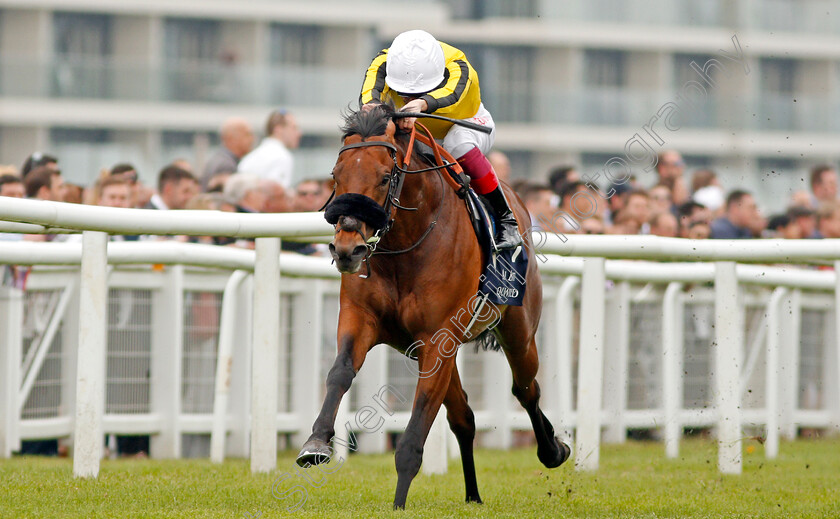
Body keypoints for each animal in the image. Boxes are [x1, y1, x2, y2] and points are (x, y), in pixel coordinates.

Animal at [296, 105, 572, 508]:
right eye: (336, 174)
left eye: (385, 177)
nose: (348, 250)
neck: (406, 244)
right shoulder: (362, 319)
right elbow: (340, 372)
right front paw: (316, 444)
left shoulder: (437, 338)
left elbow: (419, 418)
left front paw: (398, 503)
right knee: (464, 417)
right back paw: (473, 496)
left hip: (518, 331)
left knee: (526, 389)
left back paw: (553, 450)